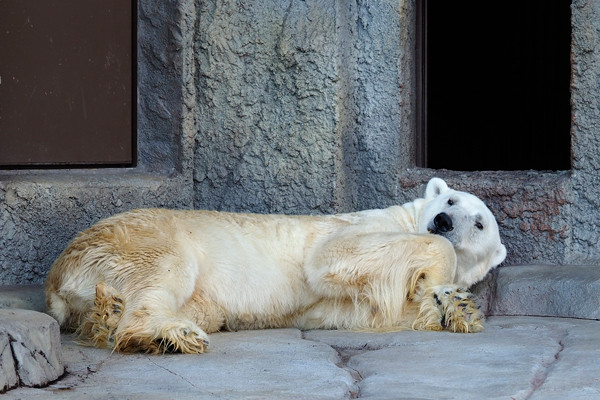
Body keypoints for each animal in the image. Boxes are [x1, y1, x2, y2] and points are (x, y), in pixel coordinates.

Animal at [45, 177, 506, 354]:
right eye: (449, 200)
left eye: (479, 222)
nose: (443, 221)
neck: (408, 218)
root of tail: (58, 276)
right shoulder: (365, 228)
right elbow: (333, 256)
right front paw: (441, 287)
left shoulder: (346, 301)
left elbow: (372, 309)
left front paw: (456, 308)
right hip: (142, 238)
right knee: (162, 274)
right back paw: (166, 334)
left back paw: (109, 316)